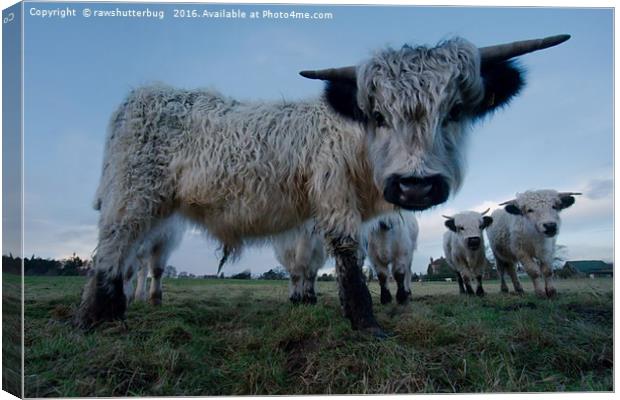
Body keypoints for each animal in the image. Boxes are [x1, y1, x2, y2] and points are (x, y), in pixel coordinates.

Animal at [77, 35, 572, 334]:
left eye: (452, 111)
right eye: (377, 115)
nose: (415, 186)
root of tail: (142, 96)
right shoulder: (335, 200)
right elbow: (348, 259)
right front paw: (365, 323)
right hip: (132, 198)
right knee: (112, 252)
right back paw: (95, 320)